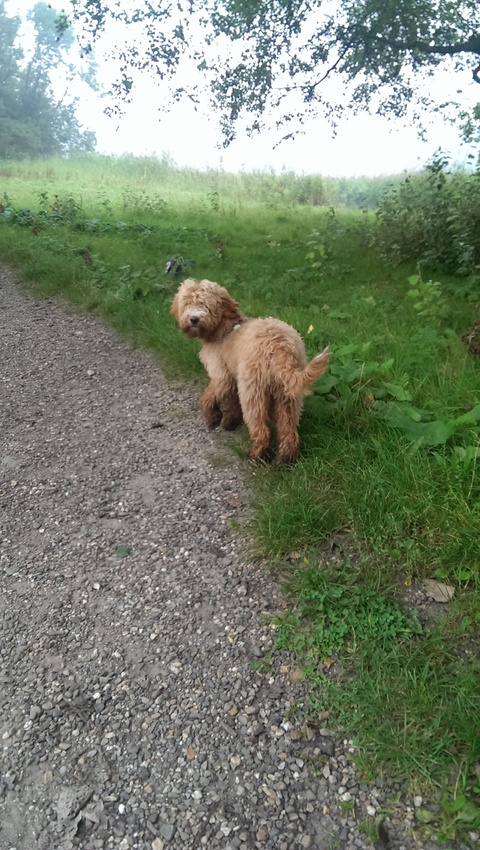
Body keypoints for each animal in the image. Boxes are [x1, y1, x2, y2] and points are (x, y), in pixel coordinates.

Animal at [171, 278, 330, 464]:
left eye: (205, 304)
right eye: (187, 303)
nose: (194, 319)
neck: (224, 327)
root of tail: (279, 345)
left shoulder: (222, 376)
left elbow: (208, 397)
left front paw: (213, 416)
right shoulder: (233, 377)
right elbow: (232, 401)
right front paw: (231, 420)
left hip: (253, 391)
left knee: (261, 430)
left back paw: (256, 455)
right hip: (287, 395)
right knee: (288, 427)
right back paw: (286, 458)